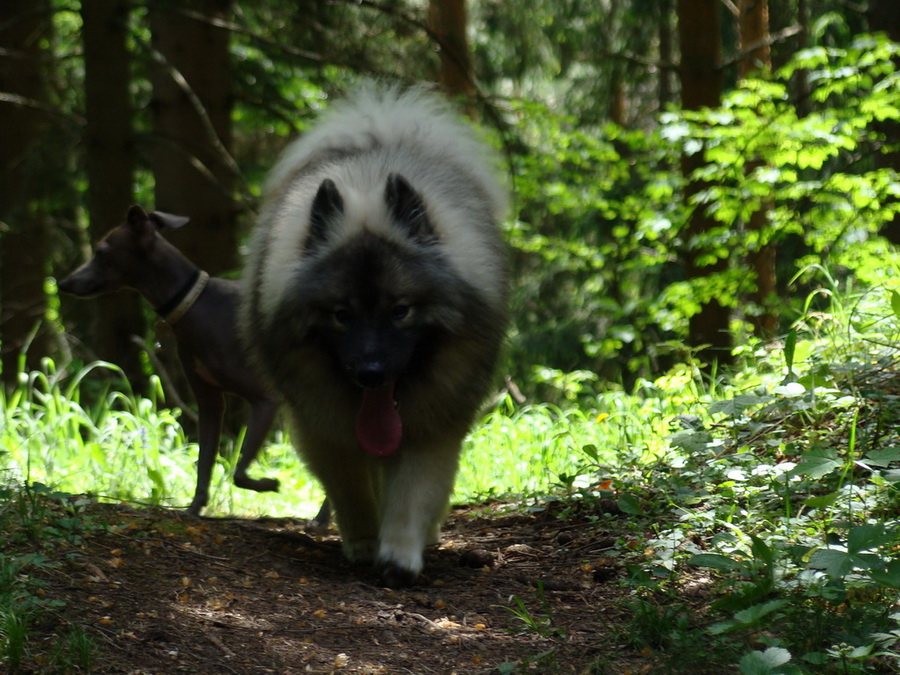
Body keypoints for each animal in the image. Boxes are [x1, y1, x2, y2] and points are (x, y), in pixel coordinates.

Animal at [239, 84, 506, 584]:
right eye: (342, 315)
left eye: (401, 310)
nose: (371, 372)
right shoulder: (324, 427)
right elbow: (350, 489)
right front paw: (364, 541)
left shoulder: (433, 422)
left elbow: (414, 489)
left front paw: (400, 552)